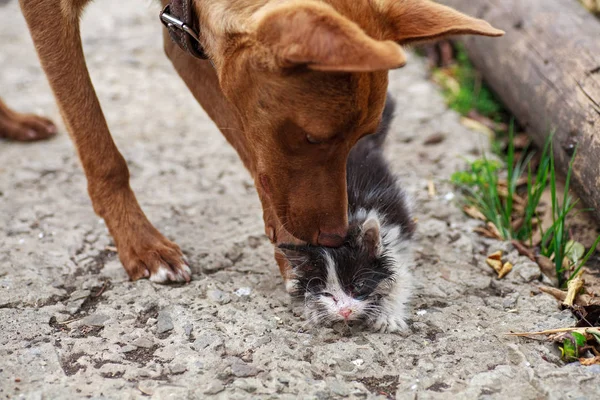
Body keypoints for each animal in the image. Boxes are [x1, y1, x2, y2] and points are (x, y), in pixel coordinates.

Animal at [12, 0, 502, 284]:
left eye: (361, 139)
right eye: (314, 137)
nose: (335, 236)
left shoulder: (185, 34)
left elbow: (254, 155)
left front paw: (292, 250)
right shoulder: (50, 11)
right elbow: (99, 144)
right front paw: (141, 243)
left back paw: (14, 123)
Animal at [280, 95, 412, 332]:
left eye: (358, 285)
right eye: (326, 293)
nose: (345, 311)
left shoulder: (394, 238)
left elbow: (401, 279)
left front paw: (388, 315)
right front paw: (316, 310)